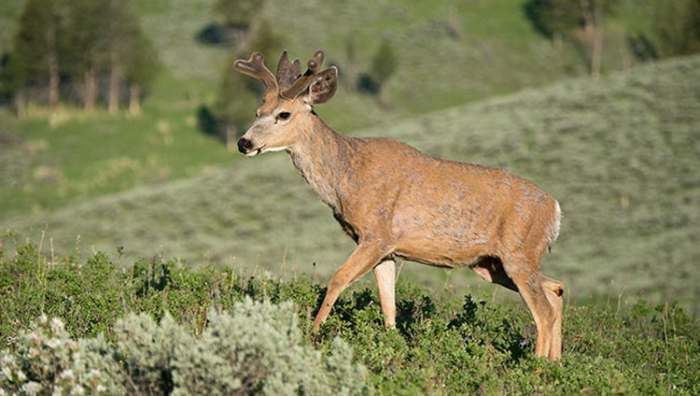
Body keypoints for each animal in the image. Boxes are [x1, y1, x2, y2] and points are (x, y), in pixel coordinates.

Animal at [232, 50, 568, 362]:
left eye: (284, 114)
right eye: (258, 110)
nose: (244, 143)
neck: (346, 175)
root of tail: (555, 208)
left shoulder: (376, 234)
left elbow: (337, 279)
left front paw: (312, 334)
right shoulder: (388, 249)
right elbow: (388, 304)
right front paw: (391, 344)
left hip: (518, 253)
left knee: (543, 310)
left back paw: (538, 365)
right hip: (492, 264)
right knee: (556, 289)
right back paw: (556, 362)